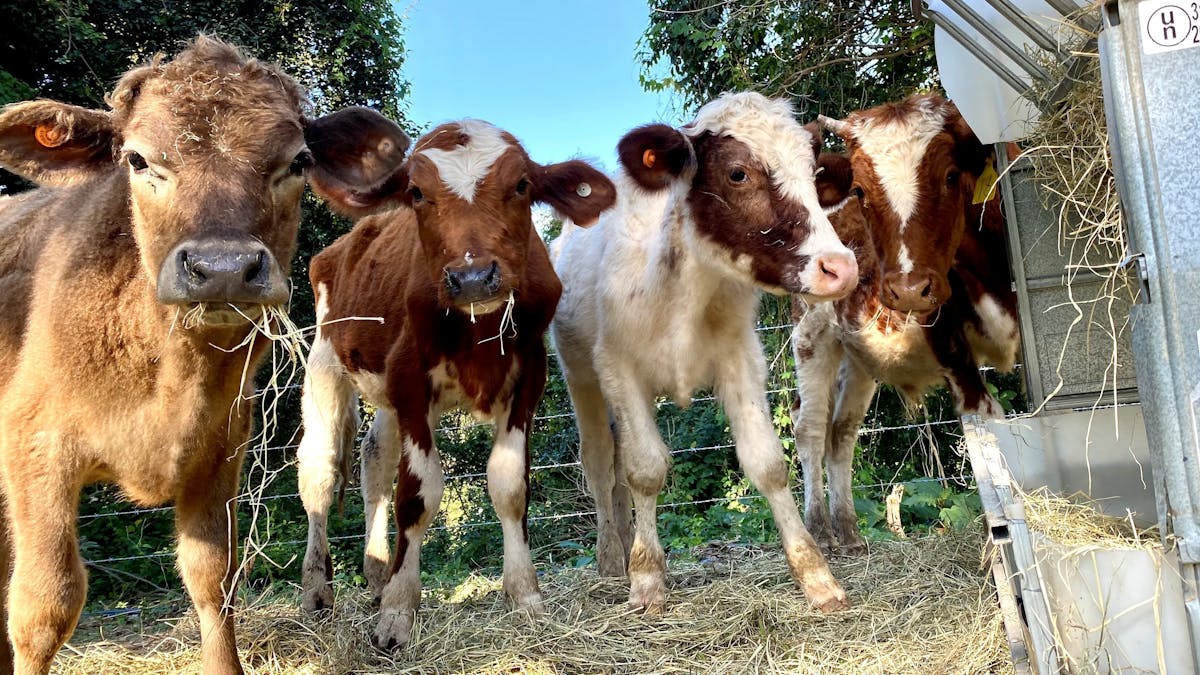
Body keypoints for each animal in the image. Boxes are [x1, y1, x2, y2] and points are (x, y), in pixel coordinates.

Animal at [0, 36, 409, 675]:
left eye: (297, 162)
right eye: (138, 160)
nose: (222, 269)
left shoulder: (219, 449)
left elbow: (213, 578)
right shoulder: (34, 448)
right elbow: (45, 606)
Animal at [296, 118, 617, 651]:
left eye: (522, 185)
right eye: (416, 192)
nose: (471, 277)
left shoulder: (527, 377)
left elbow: (509, 486)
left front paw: (525, 597)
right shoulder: (410, 380)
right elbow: (417, 495)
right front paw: (398, 614)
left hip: (384, 397)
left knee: (374, 460)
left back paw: (377, 577)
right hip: (324, 362)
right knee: (319, 473)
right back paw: (317, 593)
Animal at [549, 92, 858, 615]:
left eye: (814, 173)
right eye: (737, 173)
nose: (839, 267)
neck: (682, 292)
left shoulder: (741, 360)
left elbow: (767, 464)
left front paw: (816, 575)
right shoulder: (619, 369)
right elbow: (645, 469)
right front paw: (647, 580)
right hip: (581, 375)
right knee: (598, 461)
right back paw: (611, 557)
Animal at [790, 94, 1020, 554]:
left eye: (951, 175)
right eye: (860, 190)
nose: (910, 290)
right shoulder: (955, 355)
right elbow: (991, 432)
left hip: (858, 355)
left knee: (841, 433)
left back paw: (850, 533)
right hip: (811, 336)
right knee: (810, 429)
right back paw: (820, 531)